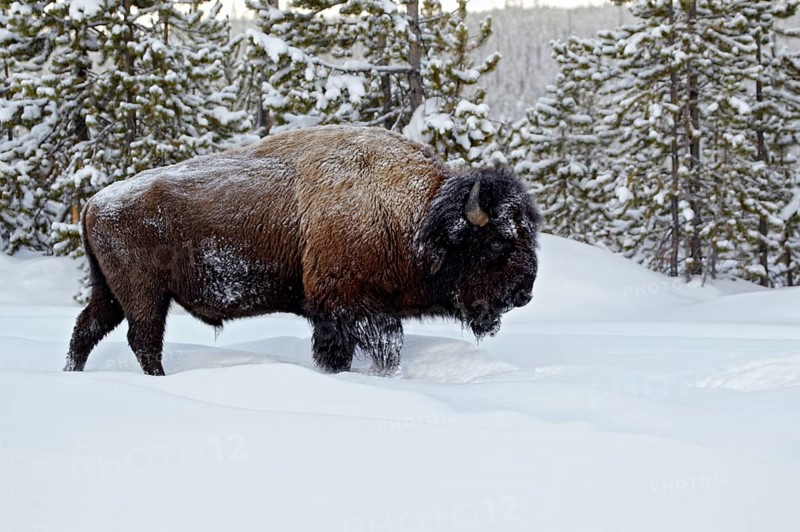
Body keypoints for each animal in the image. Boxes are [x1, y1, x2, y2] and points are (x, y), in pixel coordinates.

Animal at [64, 125, 541, 376]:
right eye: (498, 241)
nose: (525, 292)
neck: (416, 215)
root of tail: (93, 203)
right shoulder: (353, 307)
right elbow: (384, 348)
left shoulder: (334, 315)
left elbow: (335, 353)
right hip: (145, 295)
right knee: (143, 340)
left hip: (112, 293)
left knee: (88, 330)